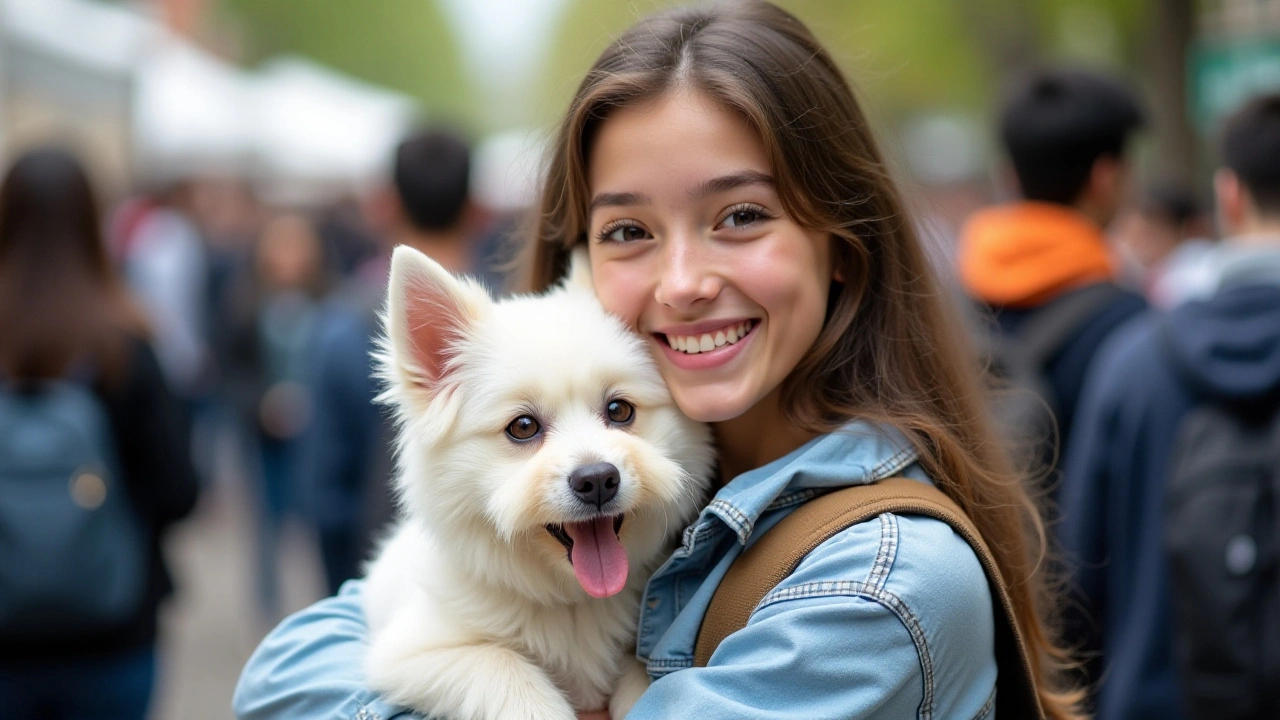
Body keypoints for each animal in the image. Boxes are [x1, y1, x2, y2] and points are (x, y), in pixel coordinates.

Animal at [366, 245, 716, 717]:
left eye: (620, 410)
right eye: (523, 427)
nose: (597, 479)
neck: (570, 600)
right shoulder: (416, 649)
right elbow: (507, 671)